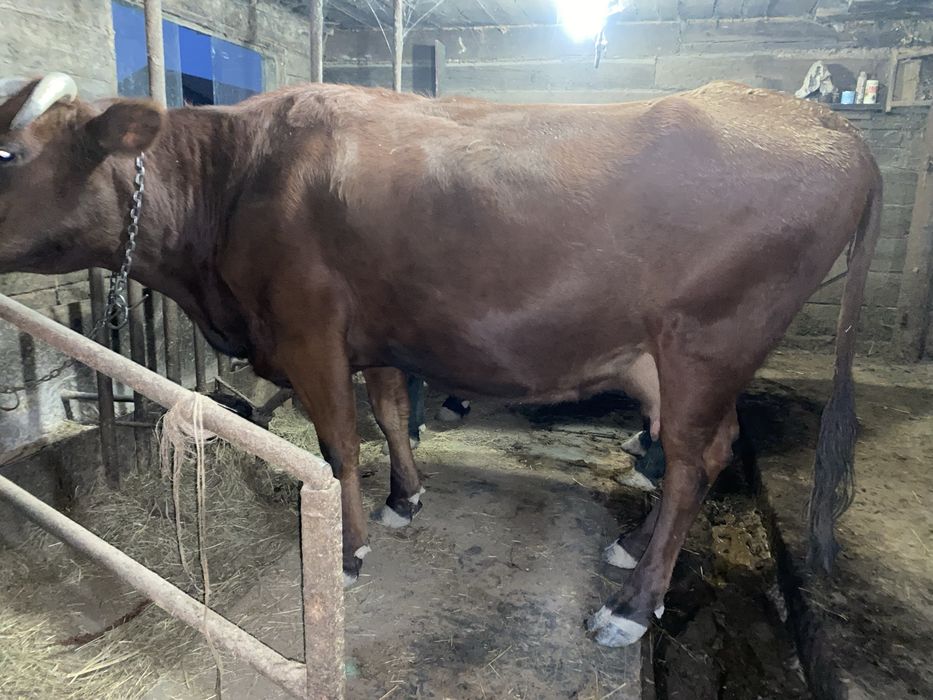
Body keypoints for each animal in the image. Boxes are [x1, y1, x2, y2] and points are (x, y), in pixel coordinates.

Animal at [0, 73, 880, 647]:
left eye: (8, 154)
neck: (234, 179)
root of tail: (831, 128)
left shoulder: (310, 331)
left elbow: (336, 447)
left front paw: (347, 552)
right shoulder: (380, 333)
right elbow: (390, 413)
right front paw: (405, 499)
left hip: (704, 345)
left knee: (698, 461)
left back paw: (631, 607)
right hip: (673, 364)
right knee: (697, 456)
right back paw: (633, 548)